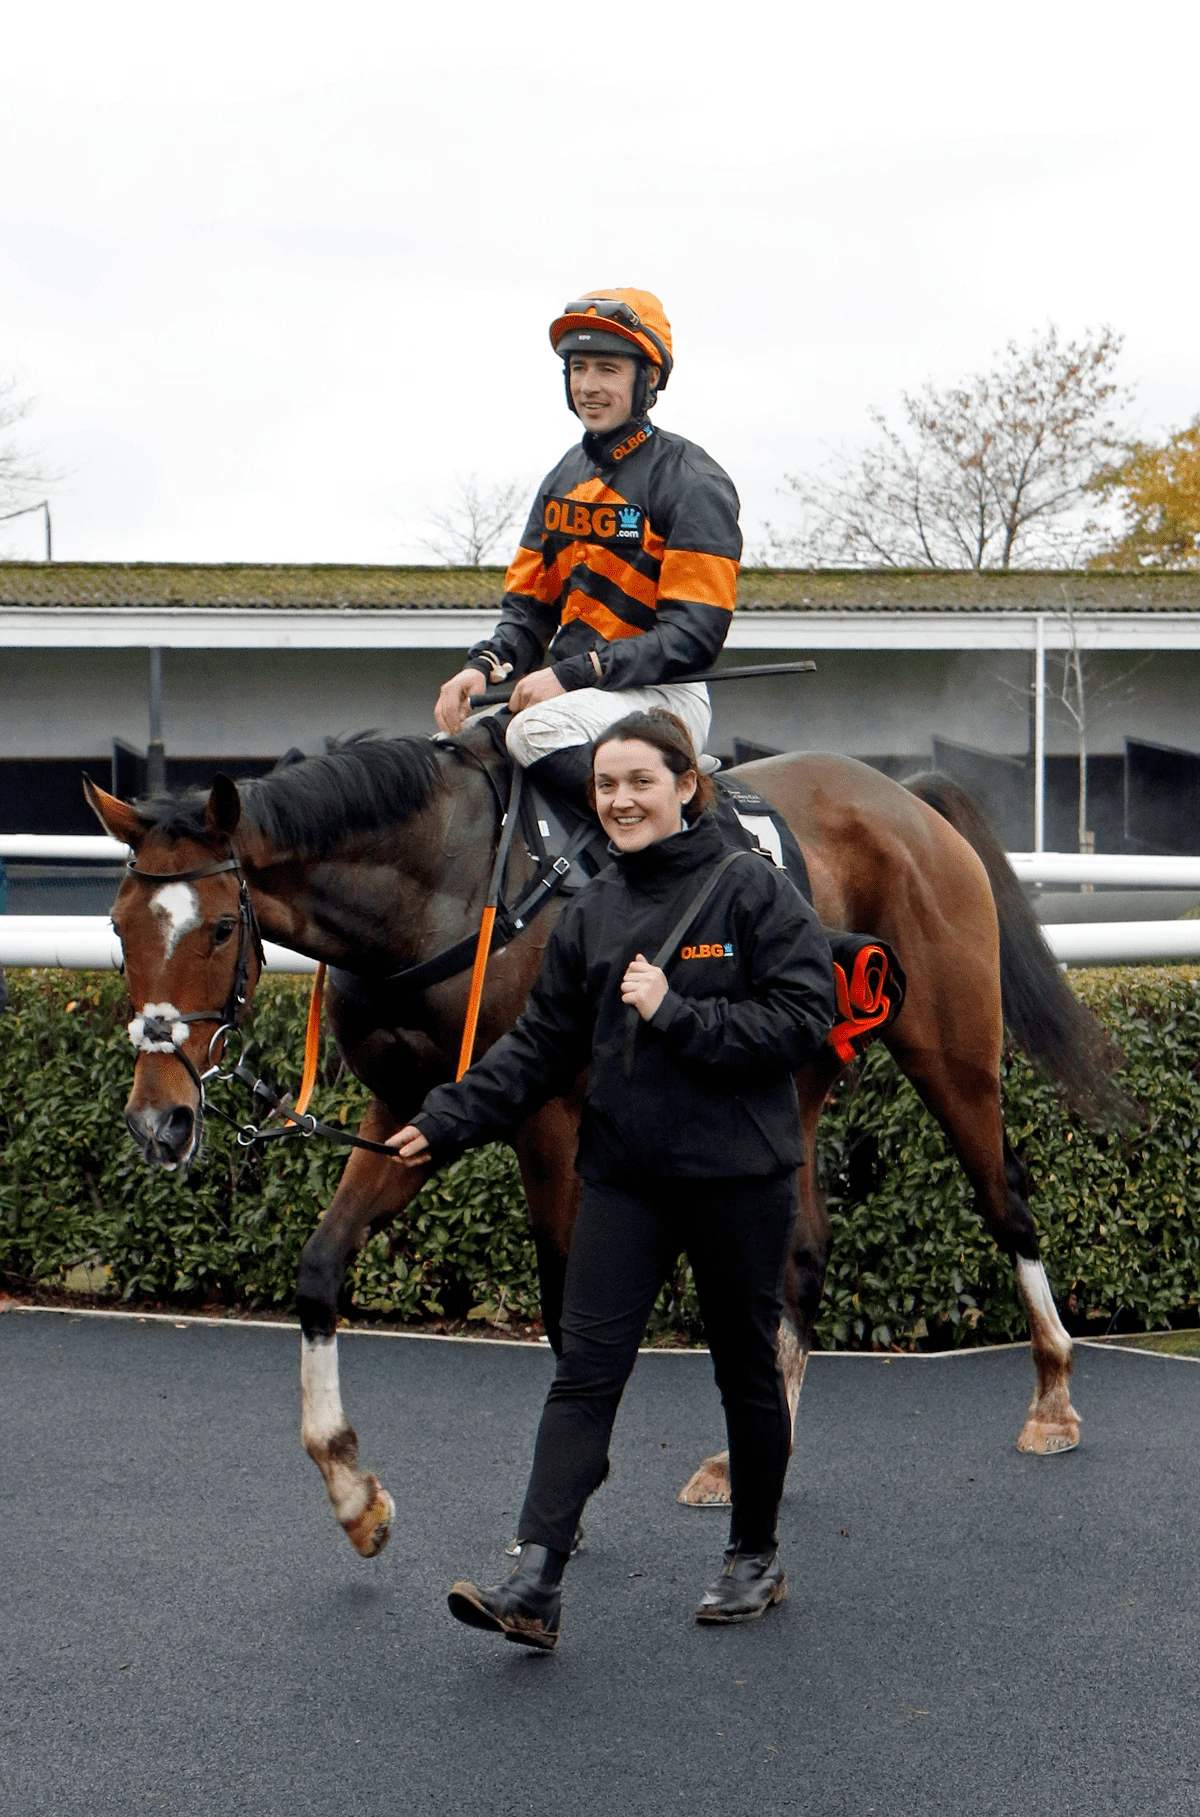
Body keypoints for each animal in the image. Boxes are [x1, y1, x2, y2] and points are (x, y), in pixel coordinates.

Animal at [86, 723, 1127, 1562]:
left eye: (221, 926)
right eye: (119, 927)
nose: (157, 1118)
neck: (447, 886)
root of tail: (907, 795)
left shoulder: (548, 1122)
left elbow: (563, 1304)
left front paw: (567, 1507)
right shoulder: (406, 1111)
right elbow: (318, 1267)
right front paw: (354, 1493)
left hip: (954, 1052)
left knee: (1007, 1196)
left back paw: (1054, 1393)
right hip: (787, 1087)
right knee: (799, 1251)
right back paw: (755, 1452)